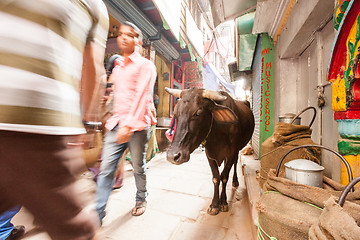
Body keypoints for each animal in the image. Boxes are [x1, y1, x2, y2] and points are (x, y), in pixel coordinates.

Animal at [165, 87, 253, 215]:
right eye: (175, 113)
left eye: (198, 113)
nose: (173, 156)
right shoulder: (209, 155)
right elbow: (216, 178)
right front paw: (215, 204)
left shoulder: (231, 153)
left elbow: (224, 176)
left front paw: (223, 202)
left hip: (237, 150)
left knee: (235, 163)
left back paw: (235, 181)